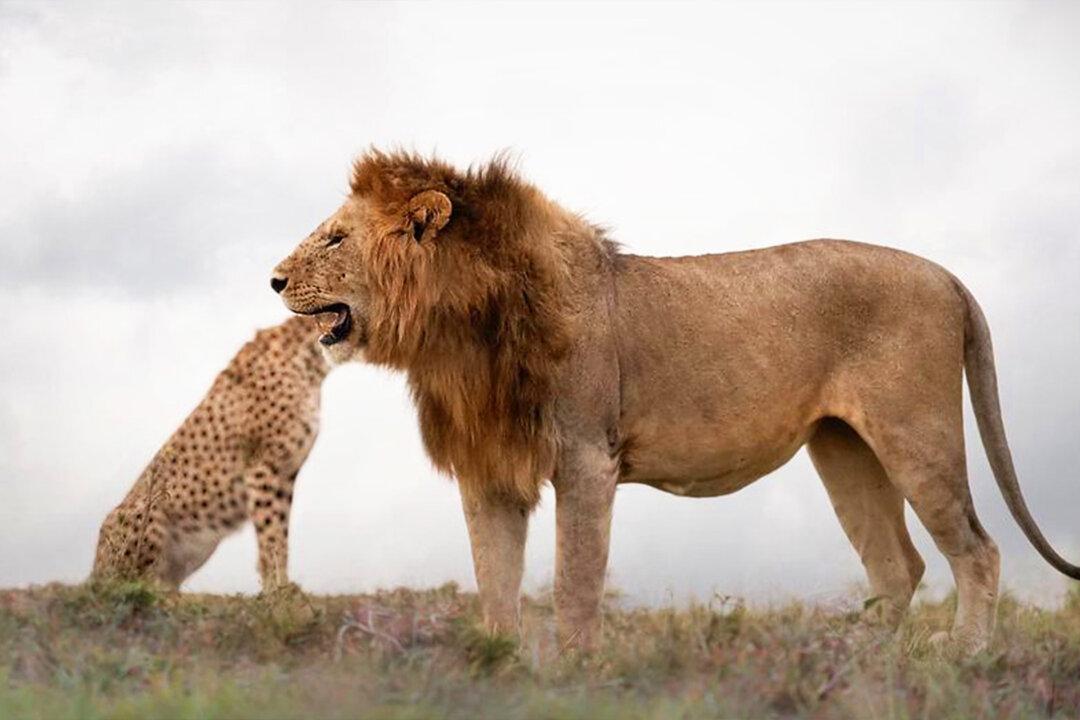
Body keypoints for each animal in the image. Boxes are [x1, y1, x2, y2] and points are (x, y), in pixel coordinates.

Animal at [271, 150, 1079, 654]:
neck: (459, 333)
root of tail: (948, 275)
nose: (273, 279)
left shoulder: (587, 460)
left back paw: (961, 655)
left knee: (976, 549)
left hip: (917, 434)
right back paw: (856, 659)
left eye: (335, 238)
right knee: (897, 565)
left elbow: (573, 581)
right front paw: (494, 663)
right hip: (842, 447)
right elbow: (494, 582)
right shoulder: (490, 474)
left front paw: (575, 672)